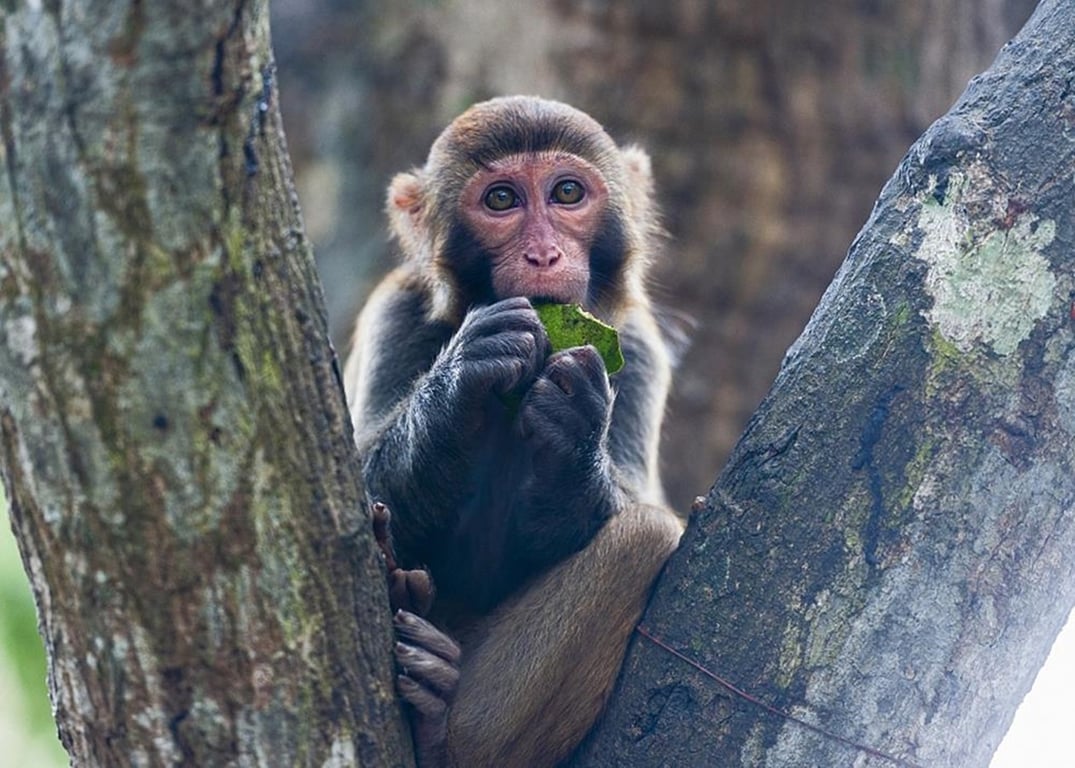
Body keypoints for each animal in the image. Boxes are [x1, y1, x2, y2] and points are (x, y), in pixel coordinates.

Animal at [341, 95, 679, 765]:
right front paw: (462, 375)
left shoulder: (637, 346)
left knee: (648, 535)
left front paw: (575, 431)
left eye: (567, 192)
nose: (543, 256)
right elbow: (359, 491)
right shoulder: (397, 313)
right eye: (501, 200)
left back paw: (443, 729)